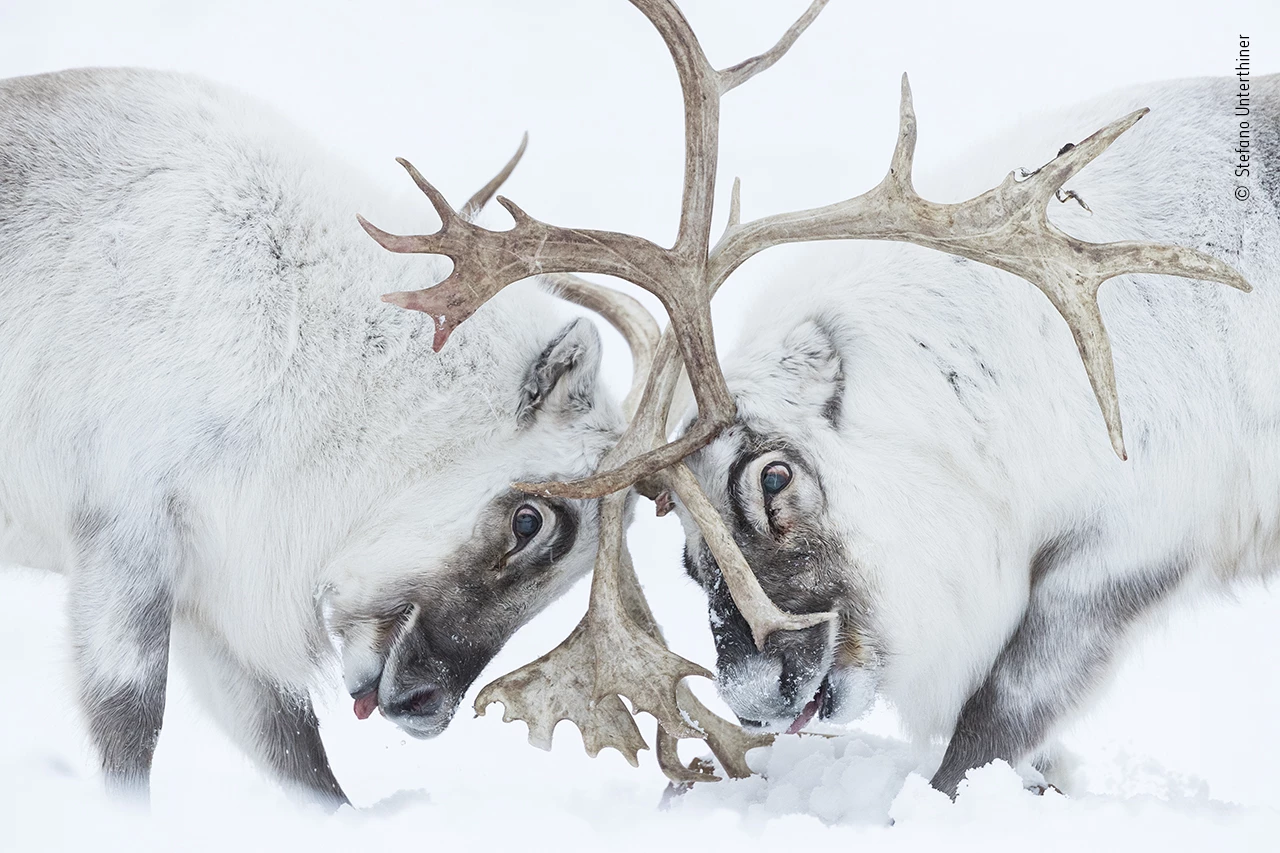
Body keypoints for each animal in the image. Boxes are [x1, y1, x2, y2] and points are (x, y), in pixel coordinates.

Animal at [0, 67, 657, 805]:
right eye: (529, 520)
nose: (427, 705)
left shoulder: (216, 590)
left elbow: (295, 752)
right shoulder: (126, 530)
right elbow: (129, 725)